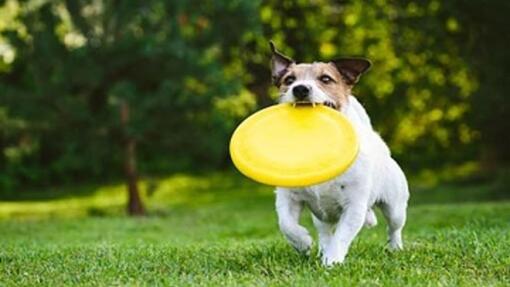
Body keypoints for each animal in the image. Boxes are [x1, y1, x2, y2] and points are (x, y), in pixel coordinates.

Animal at [268, 42, 408, 268]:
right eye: (289, 80)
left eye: (326, 79)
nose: (300, 89)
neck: (316, 144)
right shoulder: (288, 198)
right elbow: (286, 224)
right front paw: (303, 242)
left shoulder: (354, 206)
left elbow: (342, 236)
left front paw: (332, 261)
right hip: (321, 216)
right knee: (325, 232)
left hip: (395, 206)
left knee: (394, 228)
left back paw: (395, 248)